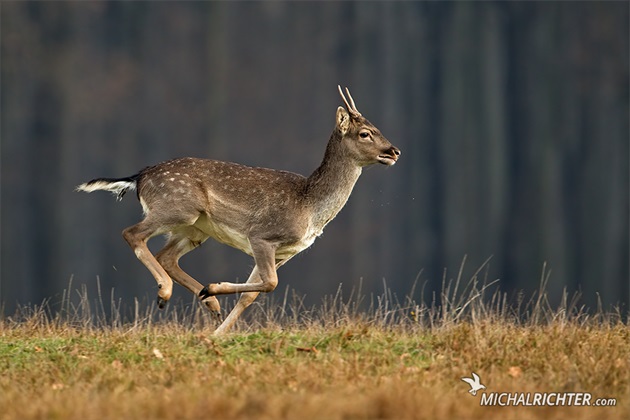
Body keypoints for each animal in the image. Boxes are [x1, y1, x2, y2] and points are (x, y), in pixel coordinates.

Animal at [76, 85, 402, 334]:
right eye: (365, 133)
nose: (394, 151)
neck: (310, 206)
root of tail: (139, 177)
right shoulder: (262, 236)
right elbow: (270, 283)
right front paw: (213, 291)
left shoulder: (285, 252)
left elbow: (253, 294)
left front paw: (215, 333)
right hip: (176, 208)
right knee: (131, 233)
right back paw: (166, 293)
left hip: (194, 229)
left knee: (165, 255)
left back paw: (210, 303)